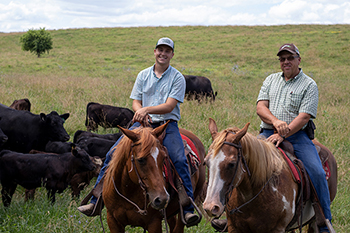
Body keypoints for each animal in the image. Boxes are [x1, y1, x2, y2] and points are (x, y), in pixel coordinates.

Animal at [204, 118, 338, 233]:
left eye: (231, 164)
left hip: (315, 221)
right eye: (206, 162)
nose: (211, 207)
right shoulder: (234, 227)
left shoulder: (277, 229)